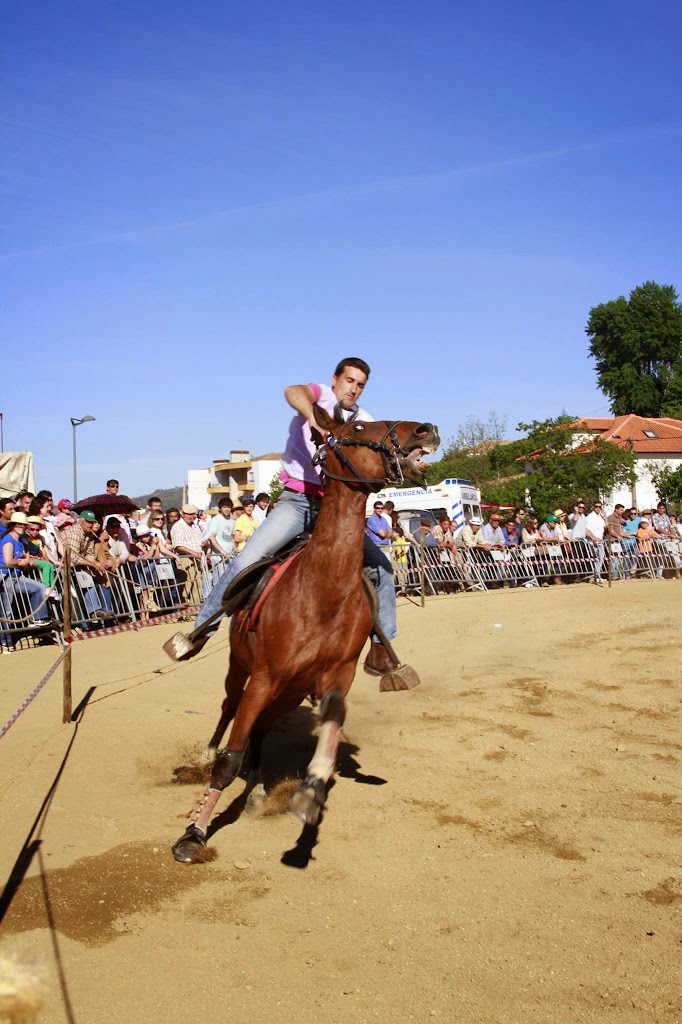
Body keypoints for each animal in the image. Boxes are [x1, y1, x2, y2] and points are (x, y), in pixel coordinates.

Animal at [171, 406, 440, 863]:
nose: (426, 429)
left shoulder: (336, 675)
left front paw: (310, 791)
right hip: (242, 670)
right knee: (229, 709)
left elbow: (327, 737)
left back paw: (258, 788)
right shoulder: (264, 676)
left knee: (260, 728)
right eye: (357, 427)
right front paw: (194, 833)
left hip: (290, 692)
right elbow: (228, 760)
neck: (322, 589)